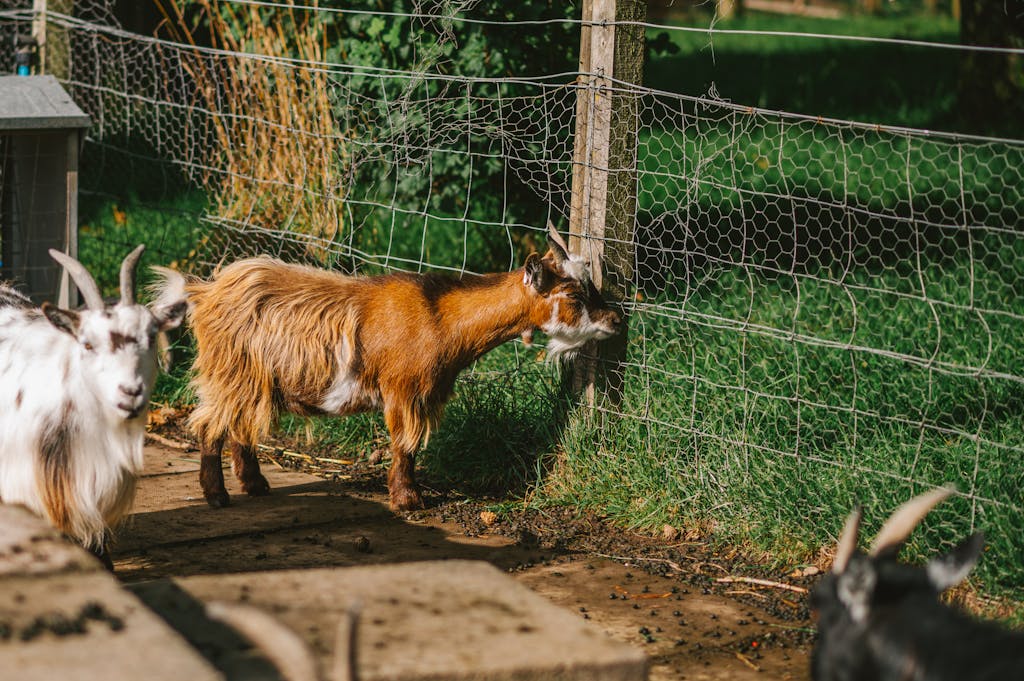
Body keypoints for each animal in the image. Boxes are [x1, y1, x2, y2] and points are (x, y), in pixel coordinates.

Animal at [150, 222, 622, 511]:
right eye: (574, 295)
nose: (617, 320)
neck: (441, 317)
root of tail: (205, 291)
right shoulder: (404, 389)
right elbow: (405, 445)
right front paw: (408, 499)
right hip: (231, 373)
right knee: (209, 425)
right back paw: (217, 496)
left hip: (252, 380)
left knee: (241, 425)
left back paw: (256, 485)